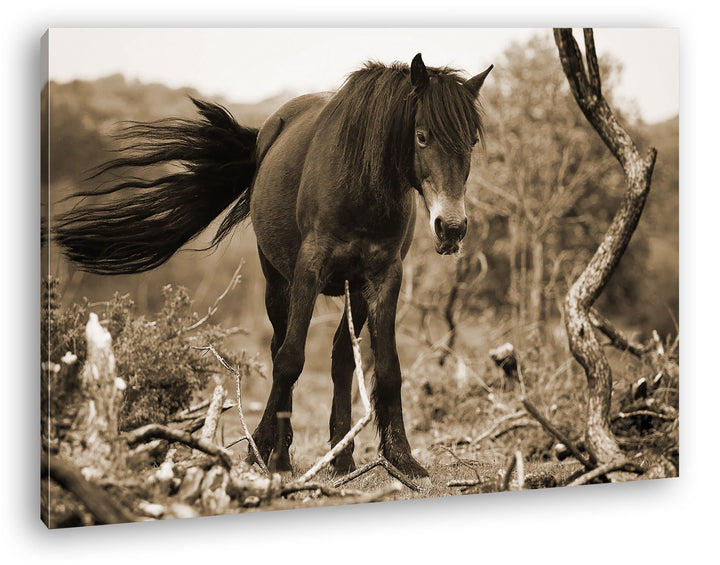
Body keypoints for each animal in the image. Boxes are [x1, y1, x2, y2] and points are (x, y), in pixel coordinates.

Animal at [54, 53, 492, 478]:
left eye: (471, 141)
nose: (452, 228)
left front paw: (403, 458)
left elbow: (386, 368)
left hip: (353, 290)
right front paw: (271, 454)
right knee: (280, 346)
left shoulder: (384, 277)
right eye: (421, 136)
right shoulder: (307, 272)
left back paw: (342, 457)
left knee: (340, 359)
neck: (361, 187)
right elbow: (290, 359)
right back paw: (274, 448)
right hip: (276, 281)